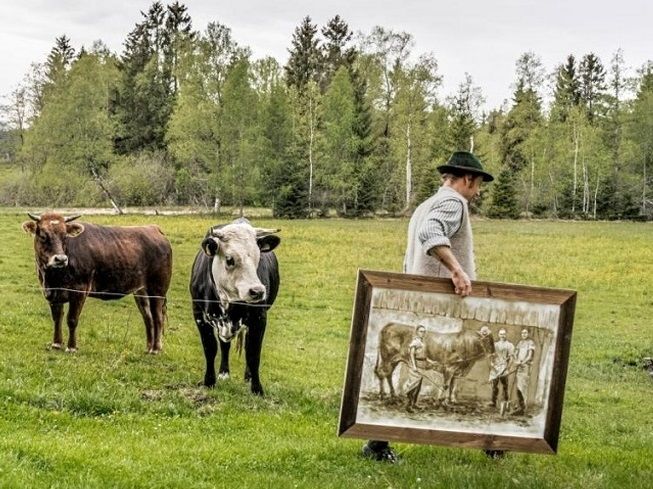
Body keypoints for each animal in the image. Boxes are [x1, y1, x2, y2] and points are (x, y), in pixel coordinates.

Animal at [22, 212, 172, 352]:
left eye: (65, 236)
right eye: (43, 235)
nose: (60, 259)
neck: (53, 277)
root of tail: (153, 228)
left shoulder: (79, 290)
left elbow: (72, 319)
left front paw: (71, 347)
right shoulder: (52, 292)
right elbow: (57, 317)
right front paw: (56, 343)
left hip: (158, 289)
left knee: (157, 317)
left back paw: (156, 349)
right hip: (141, 291)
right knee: (148, 317)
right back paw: (149, 347)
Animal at [190, 219, 278, 394]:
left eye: (258, 257)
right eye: (229, 259)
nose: (257, 291)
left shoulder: (259, 318)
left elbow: (253, 354)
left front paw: (257, 389)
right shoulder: (199, 315)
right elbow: (210, 348)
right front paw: (209, 381)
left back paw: (248, 376)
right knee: (225, 345)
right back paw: (224, 372)